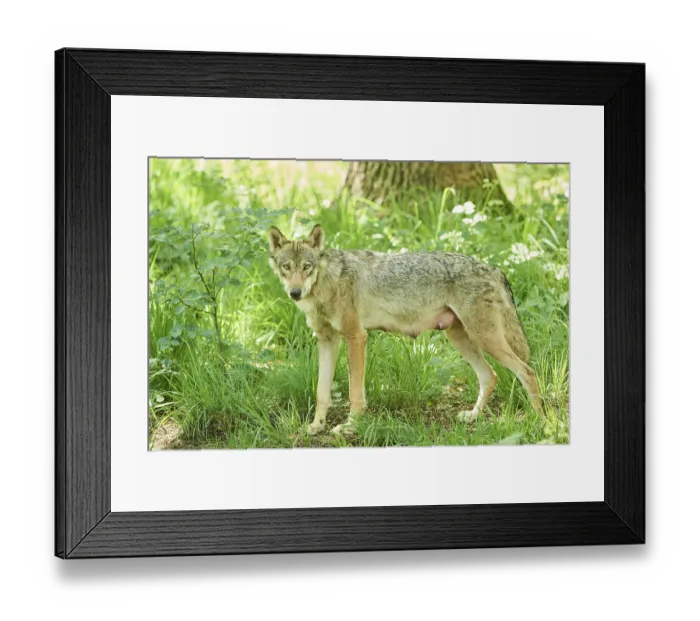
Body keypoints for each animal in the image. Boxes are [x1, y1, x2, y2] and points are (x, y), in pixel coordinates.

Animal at [268, 224, 542, 436]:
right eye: (286, 267)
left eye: (306, 266)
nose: (295, 293)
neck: (327, 281)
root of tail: (493, 267)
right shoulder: (327, 341)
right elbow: (321, 392)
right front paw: (316, 426)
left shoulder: (356, 337)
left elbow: (354, 393)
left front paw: (351, 426)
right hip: (460, 338)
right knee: (490, 376)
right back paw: (473, 417)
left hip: (484, 339)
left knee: (527, 372)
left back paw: (539, 421)